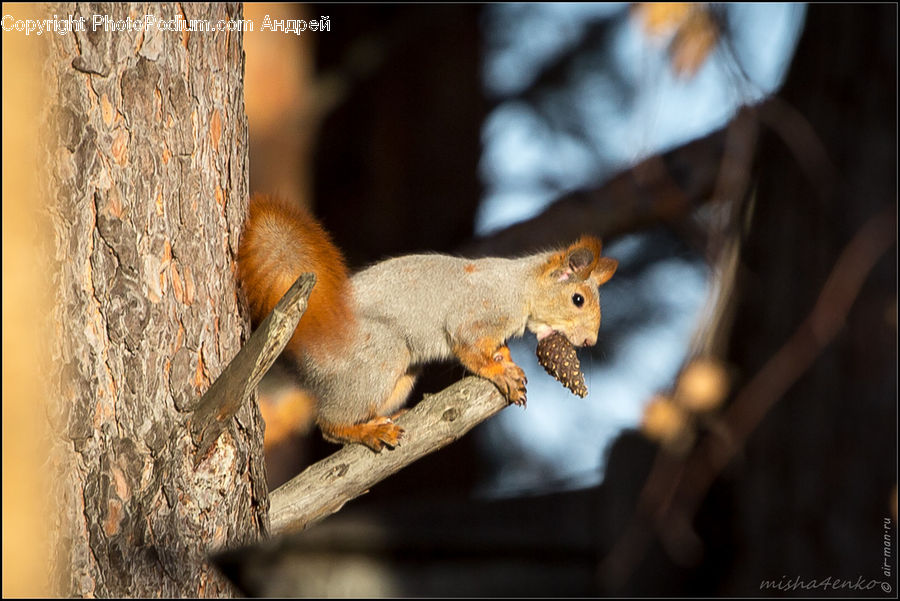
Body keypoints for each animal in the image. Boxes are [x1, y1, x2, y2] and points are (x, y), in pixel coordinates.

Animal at [237, 194, 618, 452]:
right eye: (578, 299)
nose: (590, 342)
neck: (519, 288)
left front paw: (505, 357)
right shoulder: (475, 314)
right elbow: (469, 350)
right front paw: (499, 371)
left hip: (400, 378)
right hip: (381, 354)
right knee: (329, 425)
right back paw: (368, 431)